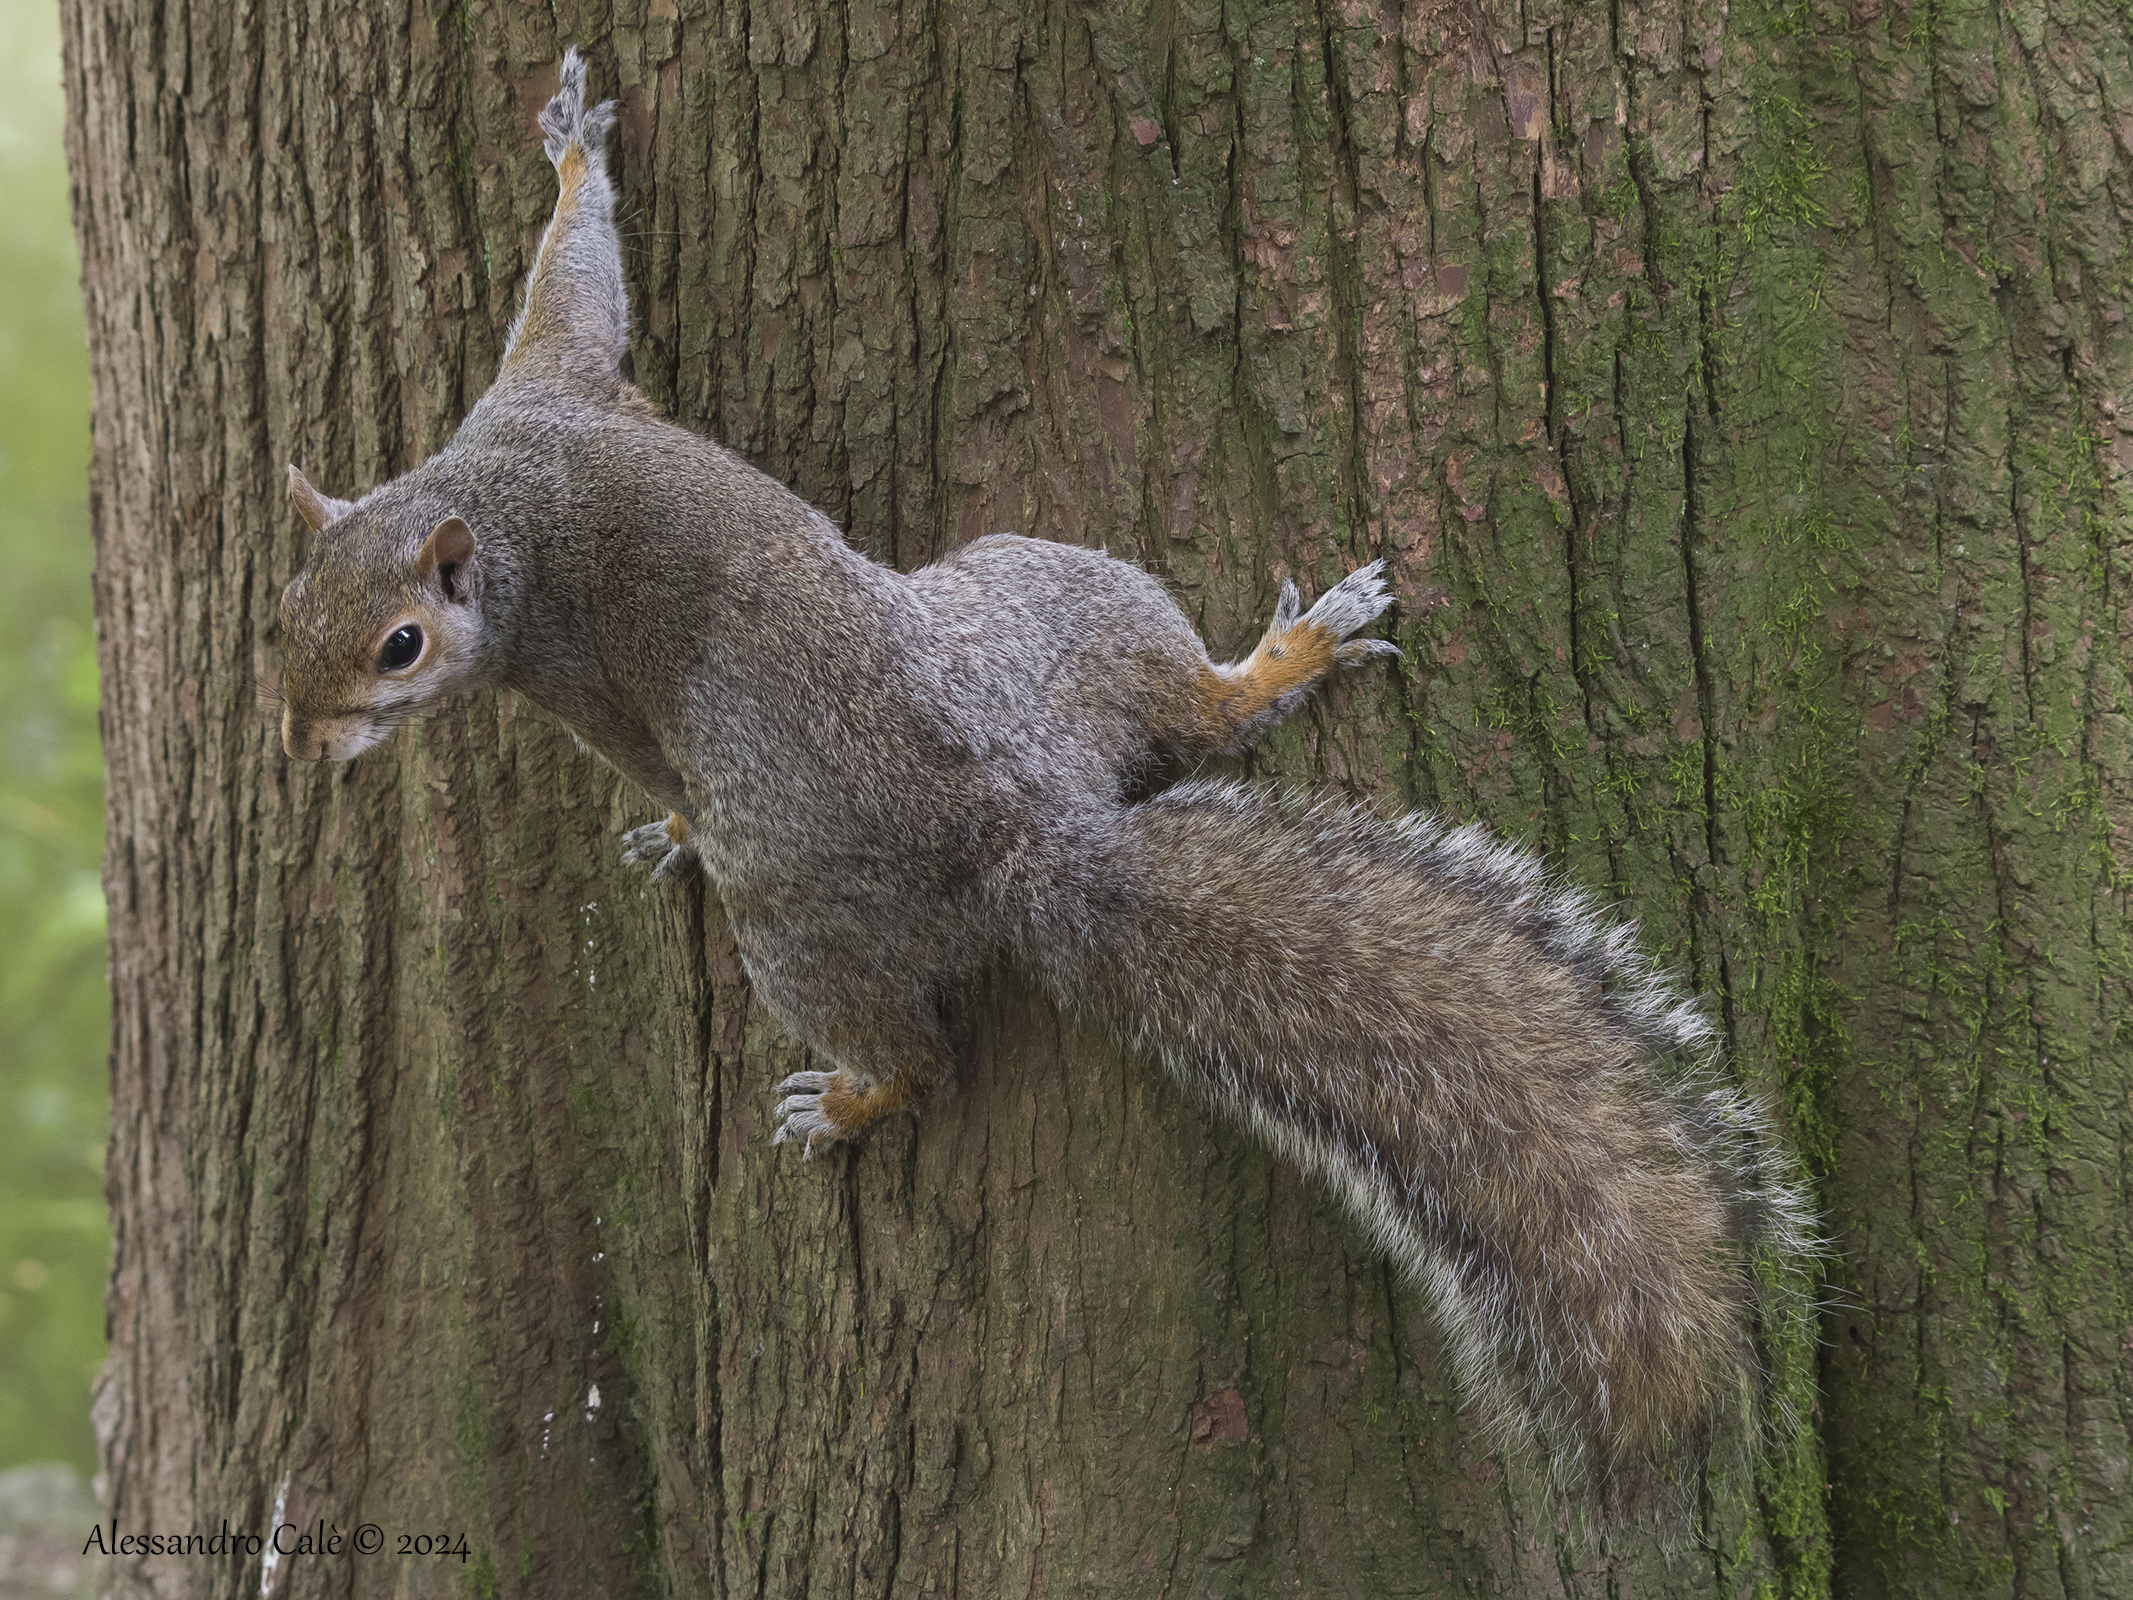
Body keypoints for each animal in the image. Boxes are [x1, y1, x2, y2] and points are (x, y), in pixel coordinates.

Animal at [274, 50, 1816, 1516]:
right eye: (283, 611)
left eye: (401, 646)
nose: (299, 748)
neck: (494, 497)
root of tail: (1031, 835)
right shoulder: (541, 402)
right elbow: (578, 286)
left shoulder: (562, 511)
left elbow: (577, 285)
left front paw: (572, 148)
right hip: (1059, 614)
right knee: (1179, 723)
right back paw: (1281, 665)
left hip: (851, 846)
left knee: (925, 1050)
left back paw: (858, 1090)